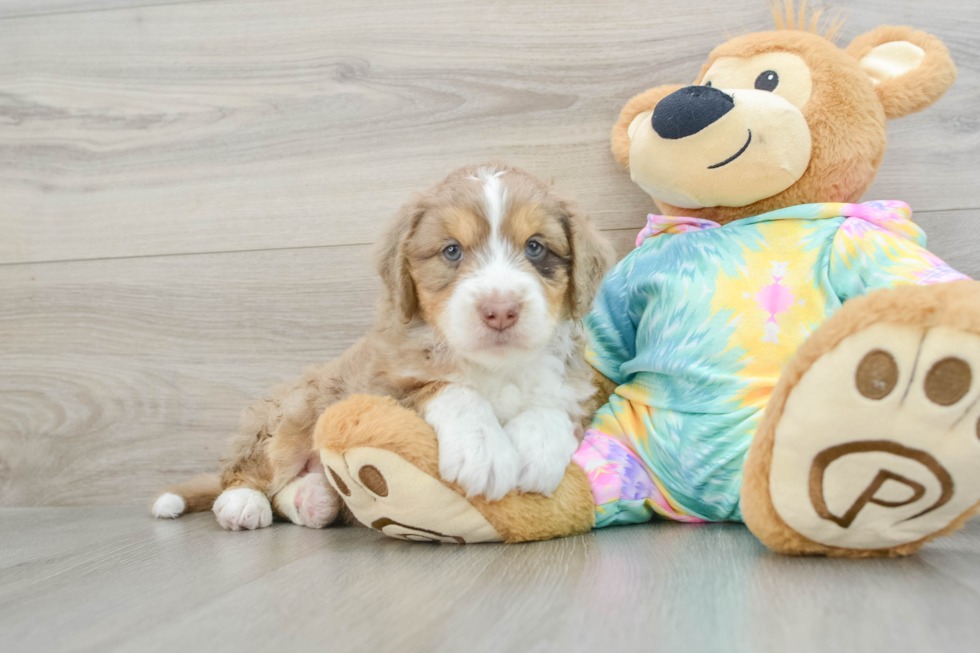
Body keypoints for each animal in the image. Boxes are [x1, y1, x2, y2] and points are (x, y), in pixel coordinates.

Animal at [152, 163, 612, 528]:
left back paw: (314, 498)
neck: (496, 366)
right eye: (452, 251)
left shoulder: (576, 388)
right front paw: (483, 450)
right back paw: (243, 502)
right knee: (249, 470)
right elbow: (449, 388)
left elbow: (554, 408)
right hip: (295, 412)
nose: (499, 311)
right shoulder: (383, 385)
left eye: (535, 247)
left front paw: (536, 451)